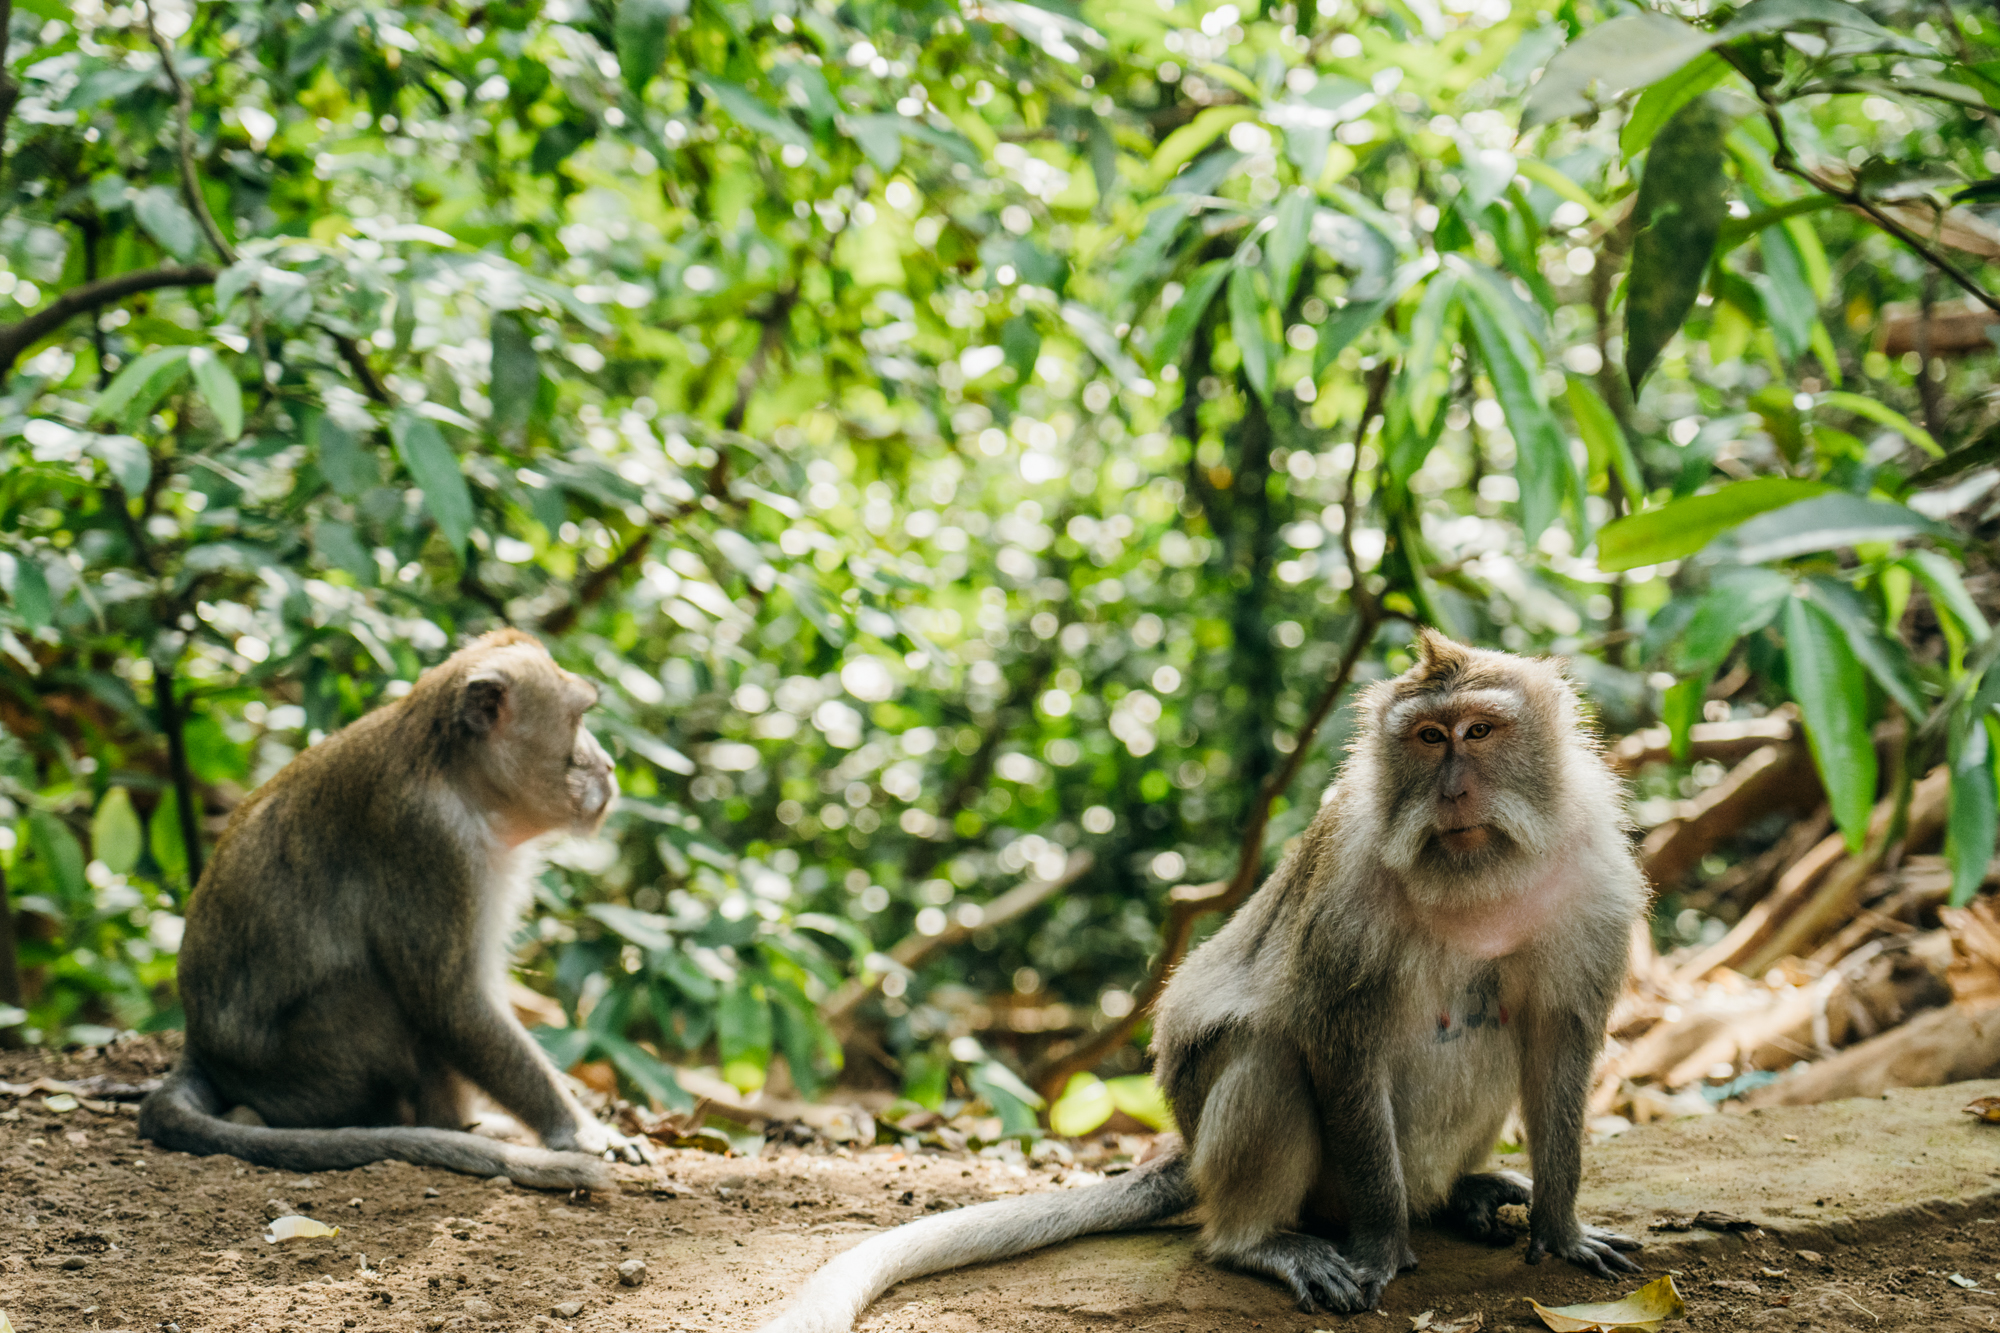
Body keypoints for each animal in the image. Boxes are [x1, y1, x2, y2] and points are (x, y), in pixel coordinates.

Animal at [143, 628, 656, 1184]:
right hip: (300, 1068)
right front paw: (583, 1133)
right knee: (377, 992)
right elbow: (450, 1000)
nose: (608, 765)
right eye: (580, 718)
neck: (457, 776)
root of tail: (198, 1045)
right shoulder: (428, 838)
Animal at [752, 628, 1640, 1320]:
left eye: (1480, 730)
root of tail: (1189, 1148)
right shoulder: (1350, 885)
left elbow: (1559, 1039)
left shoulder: (1594, 878)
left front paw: (1560, 1229)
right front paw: (1383, 1248)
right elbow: (1335, 1039)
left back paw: (1459, 1193)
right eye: (1428, 738)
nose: (1453, 789)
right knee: (1271, 1058)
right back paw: (1261, 1241)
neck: (1476, 878)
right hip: (1288, 1174)